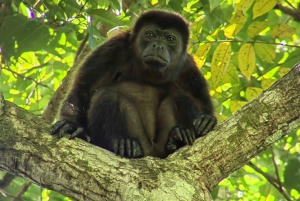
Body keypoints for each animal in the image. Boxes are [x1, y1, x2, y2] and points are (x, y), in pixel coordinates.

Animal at [51, 10, 216, 159]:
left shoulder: (188, 66)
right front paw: (70, 125)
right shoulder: (113, 48)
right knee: (106, 95)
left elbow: (202, 101)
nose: (158, 46)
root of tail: (152, 153)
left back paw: (178, 137)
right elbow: (84, 89)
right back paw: (122, 143)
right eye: (150, 35)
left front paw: (206, 121)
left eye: (170, 39)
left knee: (180, 95)